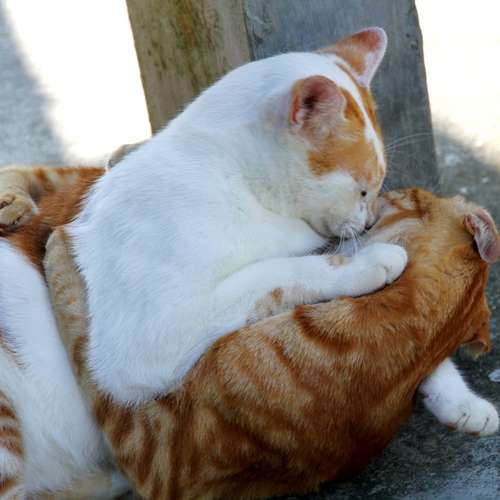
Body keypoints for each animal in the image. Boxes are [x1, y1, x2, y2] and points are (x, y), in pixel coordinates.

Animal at [66, 27, 410, 405]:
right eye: (362, 190)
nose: (370, 222)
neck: (232, 175)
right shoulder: (148, 342)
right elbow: (274, 273)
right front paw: (366, 262)